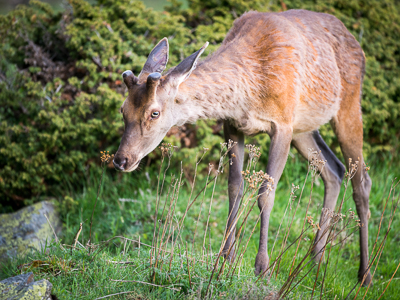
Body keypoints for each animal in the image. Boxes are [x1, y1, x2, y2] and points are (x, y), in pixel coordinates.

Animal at [112, 8, 372, 286]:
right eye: (123, 109)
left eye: (154, 112)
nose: (121, 160)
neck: (248, 92)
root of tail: (358, 45)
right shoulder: (232, 125)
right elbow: (234, 187)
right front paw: (226, 258)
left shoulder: (283, 123)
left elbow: (266, 192)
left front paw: (263, 267)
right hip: (304, 128)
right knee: (334, 170)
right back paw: (316, 261)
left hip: (349, 105)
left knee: (361, 182)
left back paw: (365, 274)